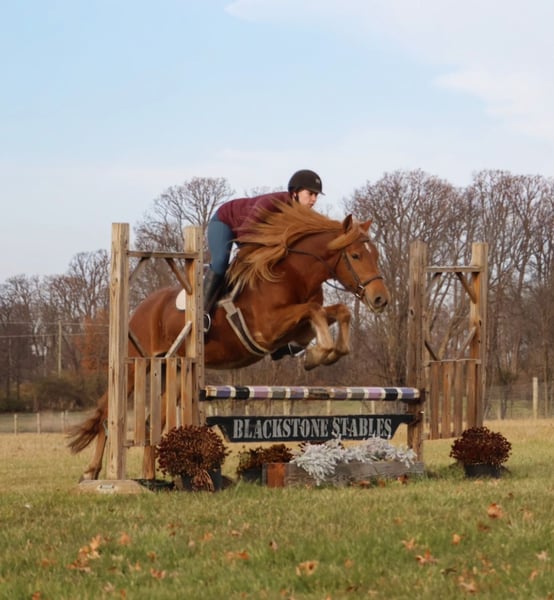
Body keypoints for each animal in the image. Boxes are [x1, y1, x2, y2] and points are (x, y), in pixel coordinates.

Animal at [68, 202, 390, 479]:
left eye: (375, 255)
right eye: (357, 256)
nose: (380, 299)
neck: (293, 273)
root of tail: (141, 308)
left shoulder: (296, 329)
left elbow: (338, 311)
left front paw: (324, 353)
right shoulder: (267, 328)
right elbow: (314, 311)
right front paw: (321, 352)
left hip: (173, 370)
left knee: (152, 421)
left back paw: (149, 474)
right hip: (137, 365)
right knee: (108, 413)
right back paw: (92, 472)